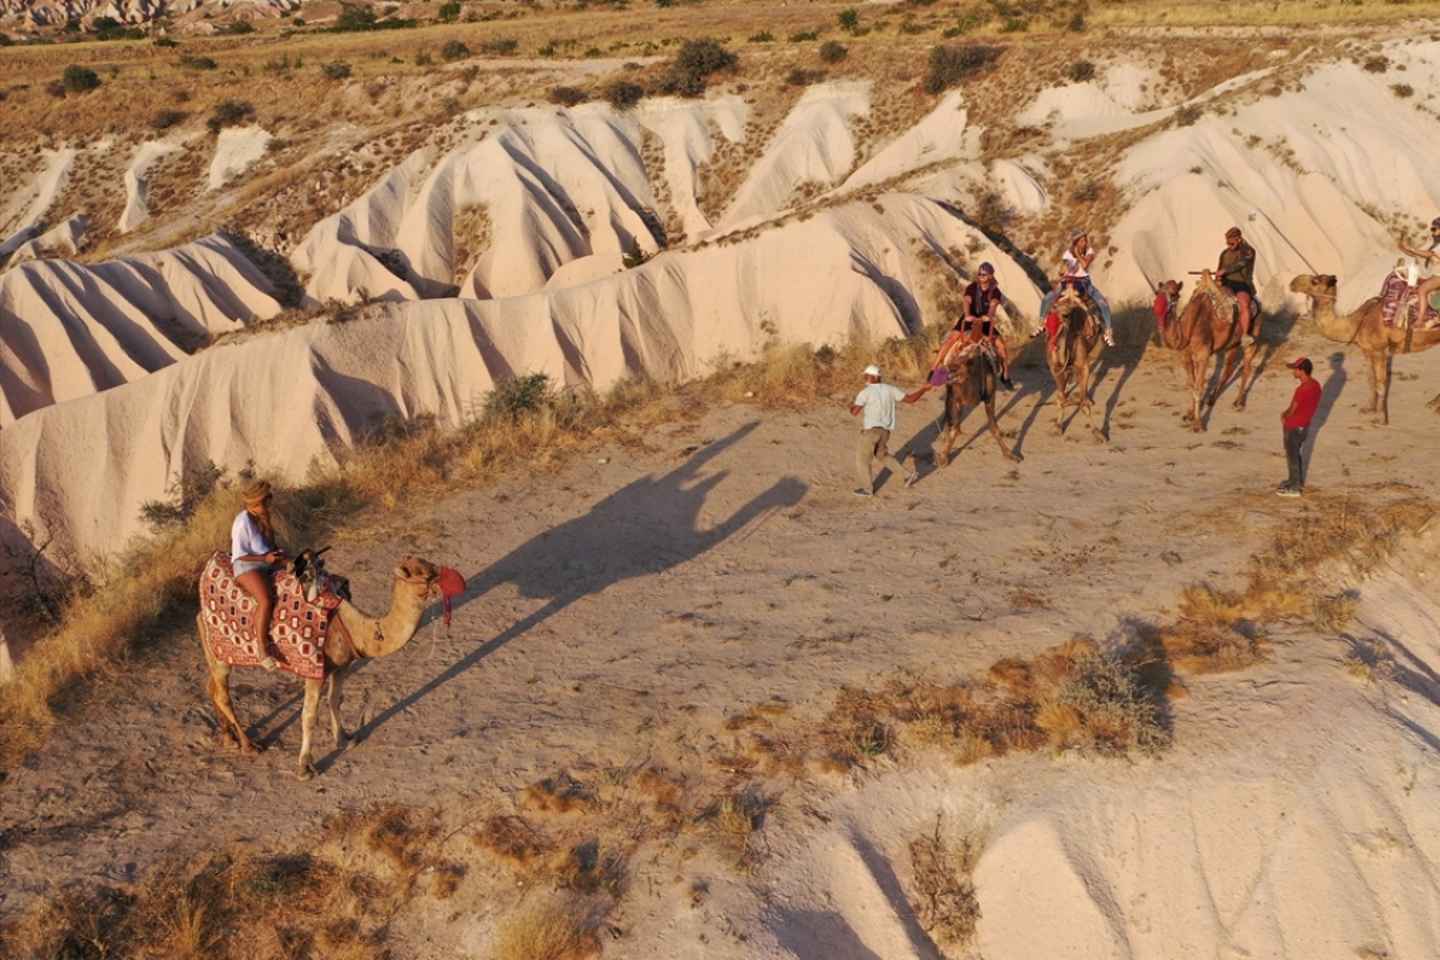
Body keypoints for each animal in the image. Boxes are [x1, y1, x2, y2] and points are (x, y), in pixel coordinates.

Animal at [198, 555, 444, 780]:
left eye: (431, 565)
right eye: (426, 574)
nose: (445, 578)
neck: (353, 626)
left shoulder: (341, 666)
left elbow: (334, 700)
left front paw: (344, 739)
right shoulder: (314, 671)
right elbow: (309, 716)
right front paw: (305, 768)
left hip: (215, 654)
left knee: (212, 687)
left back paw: (228, 738)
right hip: (220, 654)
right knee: (223, 695)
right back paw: (248, 745)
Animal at [1045, 285, 1106, 440]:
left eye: (1066, 315)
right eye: (1052, 312)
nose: (1053, 345)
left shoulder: (1082, 366)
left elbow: (1083, 403)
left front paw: (1098, 433)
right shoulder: (1055, 369)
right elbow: (1061, 399)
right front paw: (1057, 427)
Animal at [1161, 271, 1261, 431]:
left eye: (1174, 294)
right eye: (1158, 292)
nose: (1161, 307)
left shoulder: (1204, 354)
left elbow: (1198, 387)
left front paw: (1198, 424)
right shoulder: (1186, 355)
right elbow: (1192, 385)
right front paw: (1189, 414)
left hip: (1254, 335)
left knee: (1246, 367)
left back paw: (1238, 403)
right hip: (1232, 343)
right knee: (1229, 368)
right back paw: (1212, 399)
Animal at [1289, 274, 1440, 425]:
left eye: (1315, 281)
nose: (1293, 283)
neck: (1357, 322)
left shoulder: (1379, 350)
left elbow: (1380, 384)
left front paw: (1381, 419)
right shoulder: (1367, 350)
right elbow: (1370, 379)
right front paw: (1369, 409)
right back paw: (1432, 404)